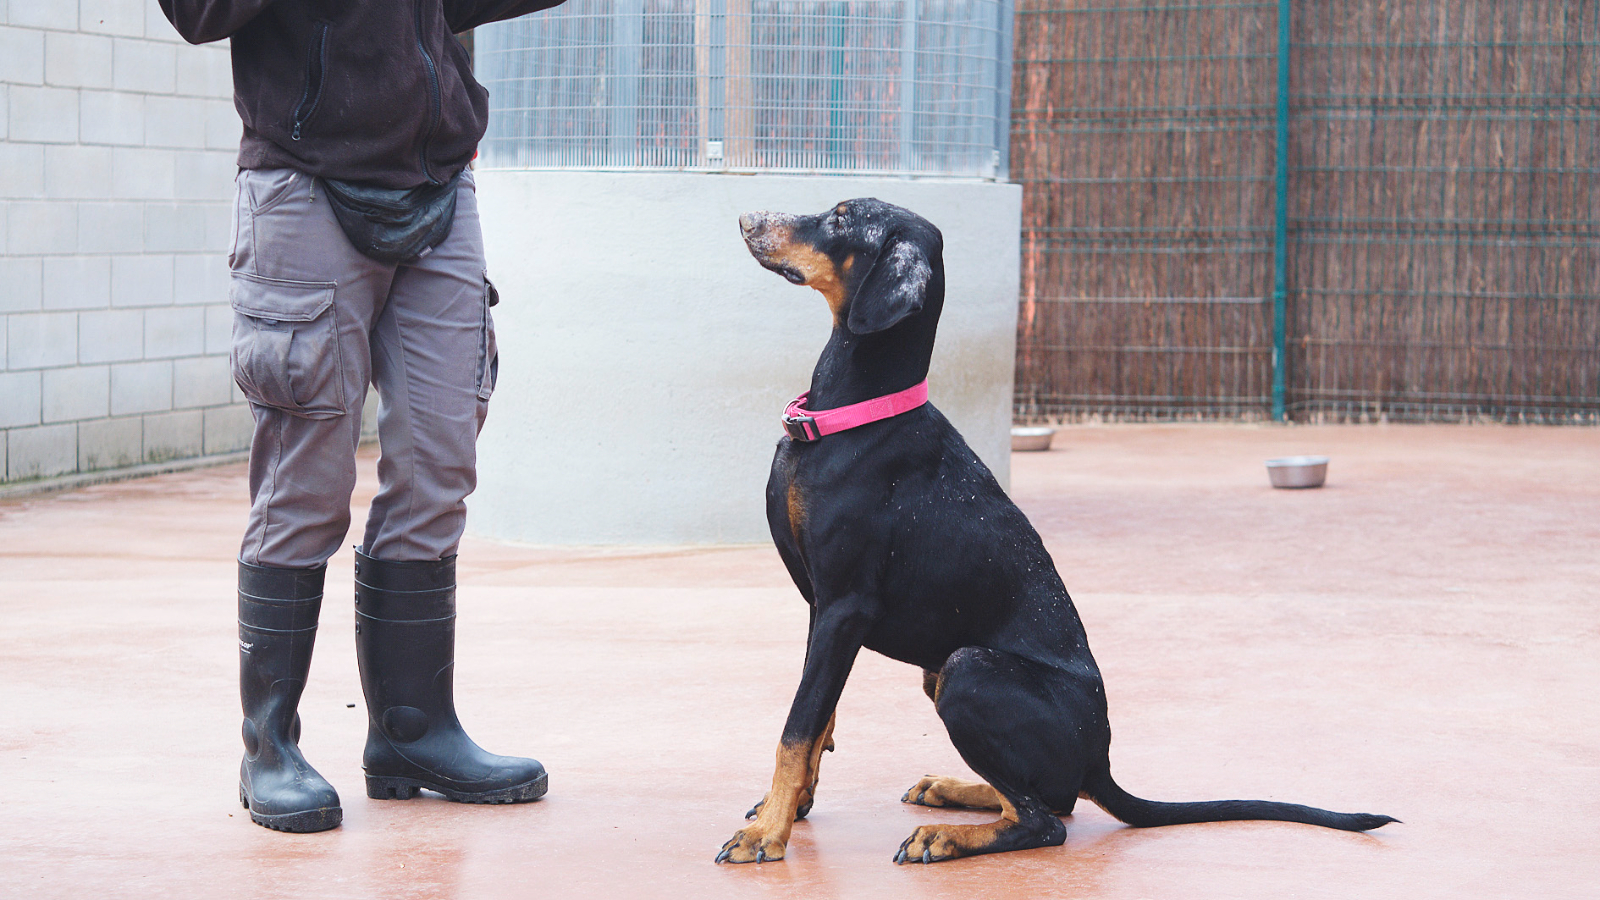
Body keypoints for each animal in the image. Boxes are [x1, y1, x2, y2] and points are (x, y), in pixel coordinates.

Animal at [718, 198, 1395, 865]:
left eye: (840, 218)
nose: (748, 218)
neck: (855, 412)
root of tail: (1100, 760)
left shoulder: (845, 607)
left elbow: (797, 725)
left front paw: (767, 835)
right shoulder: (821, 608)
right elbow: (821, 719)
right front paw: (791, 807)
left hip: (966, 668)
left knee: (1046, 821)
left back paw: (947, 835)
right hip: (943, 672)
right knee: (1048, 799)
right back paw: (954, 790)